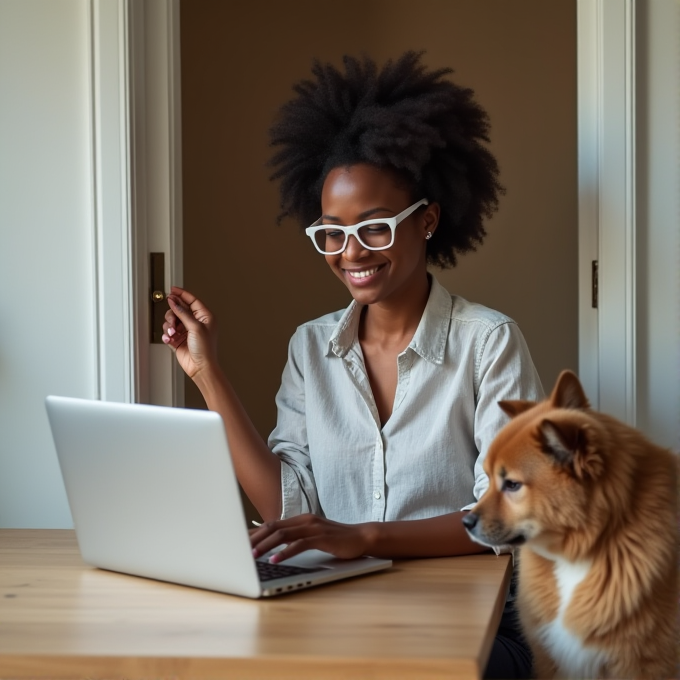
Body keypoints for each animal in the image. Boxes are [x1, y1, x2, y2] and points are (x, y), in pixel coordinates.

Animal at [464, 372, 676, 680]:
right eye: (489, 477)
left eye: (512, 484)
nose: (465, 521)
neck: (577, 554)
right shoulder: (549, 658)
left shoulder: (645, 665)